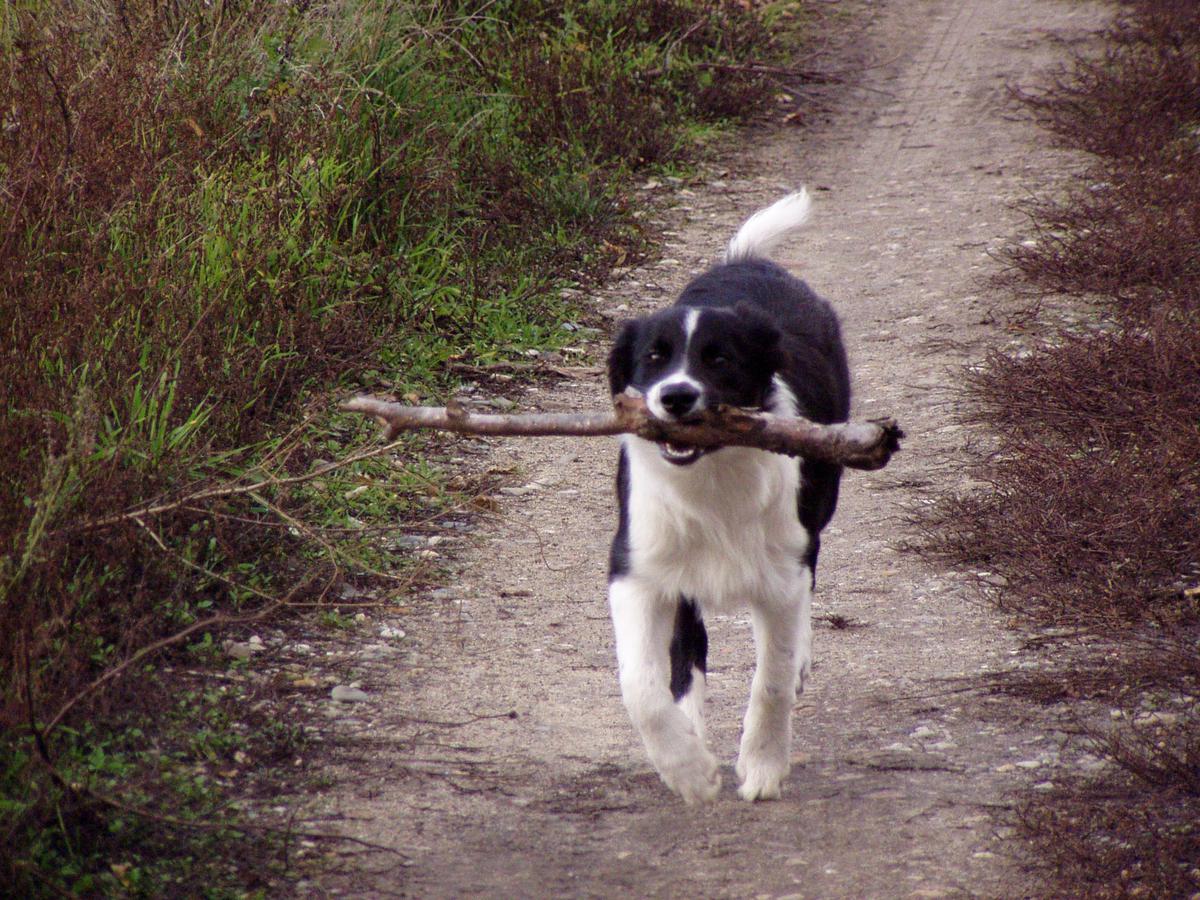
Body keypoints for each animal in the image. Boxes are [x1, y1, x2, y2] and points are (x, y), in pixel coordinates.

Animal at [606, 190, 851, 803]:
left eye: (719, 359)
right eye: (653, 357)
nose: (675, 397)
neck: (711, 480)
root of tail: (748, 263)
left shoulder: (781, 573)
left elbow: (772, 680)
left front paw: (762, 769)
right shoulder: (637, 569)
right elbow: (642, 687)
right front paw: (689, 769)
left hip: (819, 507)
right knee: (685, 652)